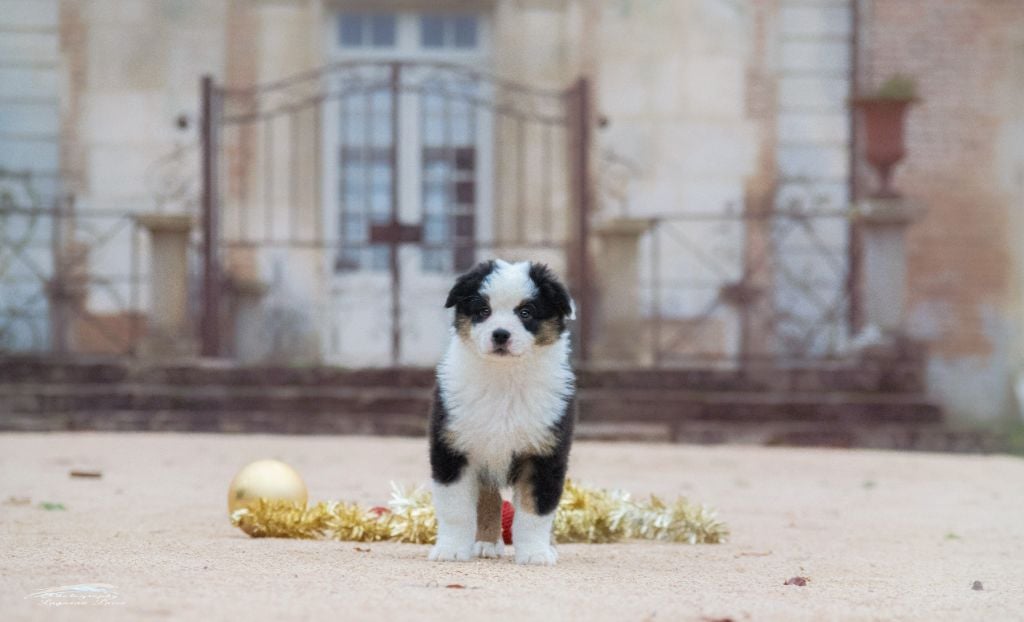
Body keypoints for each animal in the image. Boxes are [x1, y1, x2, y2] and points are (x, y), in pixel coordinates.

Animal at [425, 258, 577, 565]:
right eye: (483, 310)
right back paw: (485, 542)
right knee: (489, 497)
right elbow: (456, 509)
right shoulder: (453, 449)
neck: (504, 378)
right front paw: (450, 550)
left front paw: (535, 554)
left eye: (526, 312)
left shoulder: (543, 456)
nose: (500, 335)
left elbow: (535, 511)